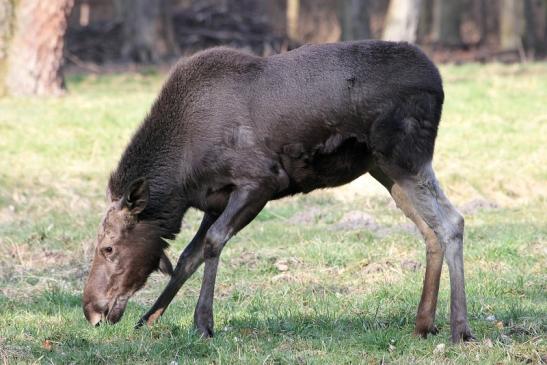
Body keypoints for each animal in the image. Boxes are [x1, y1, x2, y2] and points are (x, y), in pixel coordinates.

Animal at [82, 39, 476, 342]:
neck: (182, 179)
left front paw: (203, 323)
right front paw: (148, 318)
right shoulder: (215, 200)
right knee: (430, 231)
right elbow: (187, 257)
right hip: (385, 171)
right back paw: (424, 323)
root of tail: (439, 83)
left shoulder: (260, 181)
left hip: (406, 158)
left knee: (452, 221)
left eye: (108, 247)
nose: (92, 310)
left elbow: (213, 243)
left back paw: (460, 328)